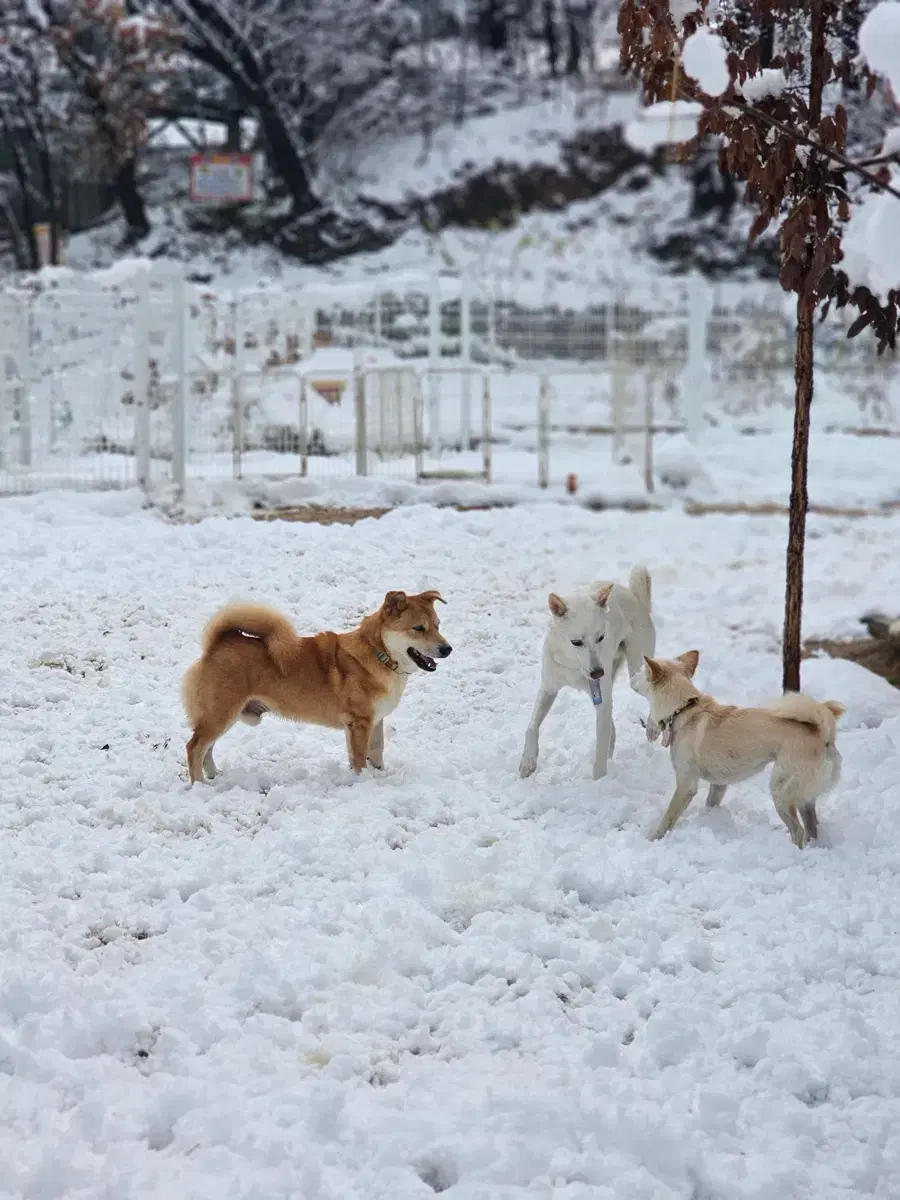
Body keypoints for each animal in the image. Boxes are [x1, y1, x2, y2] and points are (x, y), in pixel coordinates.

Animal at [181, 588, 451, 777]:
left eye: (438, 625)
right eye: (419, 628)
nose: (447, 649)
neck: (379, 654)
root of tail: (216, 646)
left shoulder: (374, 721)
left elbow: (376, 752)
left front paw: (379, 777)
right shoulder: (359, 723)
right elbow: (359, 758)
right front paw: (362, 782)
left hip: (224, 715)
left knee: (207, 750)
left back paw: (214, 777)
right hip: (219, 714)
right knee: (194, 748)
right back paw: (199, 785)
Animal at [520, 564, 657, 782]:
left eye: (601, 637)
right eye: (576, 642)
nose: (598, 673)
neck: (574, 665)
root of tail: (637, 598)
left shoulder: (602, 699)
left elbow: (600, 748)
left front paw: (598, 782)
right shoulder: (549, 688)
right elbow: (531, 727)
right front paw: (528, 762)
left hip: (636, 672)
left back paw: (652, 727)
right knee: (612, 729)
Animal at [628, 652, 849, 849]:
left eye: (640, 671)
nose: (630, 678)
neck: (683, 708)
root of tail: (824, 734)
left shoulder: (686, 785)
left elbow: (668, 817)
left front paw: (654, 838)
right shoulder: (718, 785)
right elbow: (710, 804)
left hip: (781, 791)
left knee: (798, 830)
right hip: (804, 797)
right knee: (812, 828)